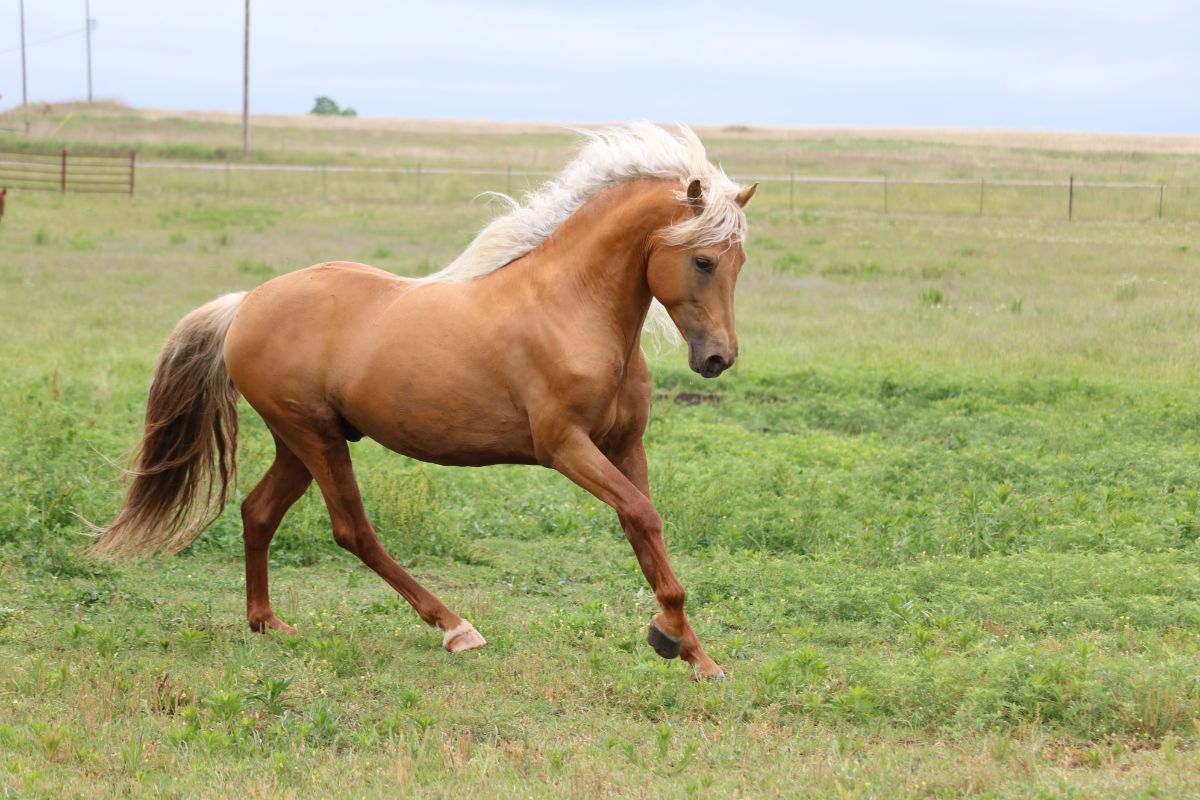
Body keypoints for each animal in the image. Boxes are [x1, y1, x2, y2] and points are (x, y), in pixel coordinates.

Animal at [93, 125, 753, 681]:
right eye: (702, 259)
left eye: (739, 262)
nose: (718, 359)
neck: (571, 308)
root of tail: (246, 303)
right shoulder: (565, 447)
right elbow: (642, 516)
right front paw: (673, 637)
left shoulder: (623, 446)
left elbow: (643, 527)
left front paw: (692, 652)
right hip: (315, 437)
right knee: (352, 530)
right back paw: (454, 627)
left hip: (298, 441)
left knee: (258, 513)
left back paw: (267, 624)